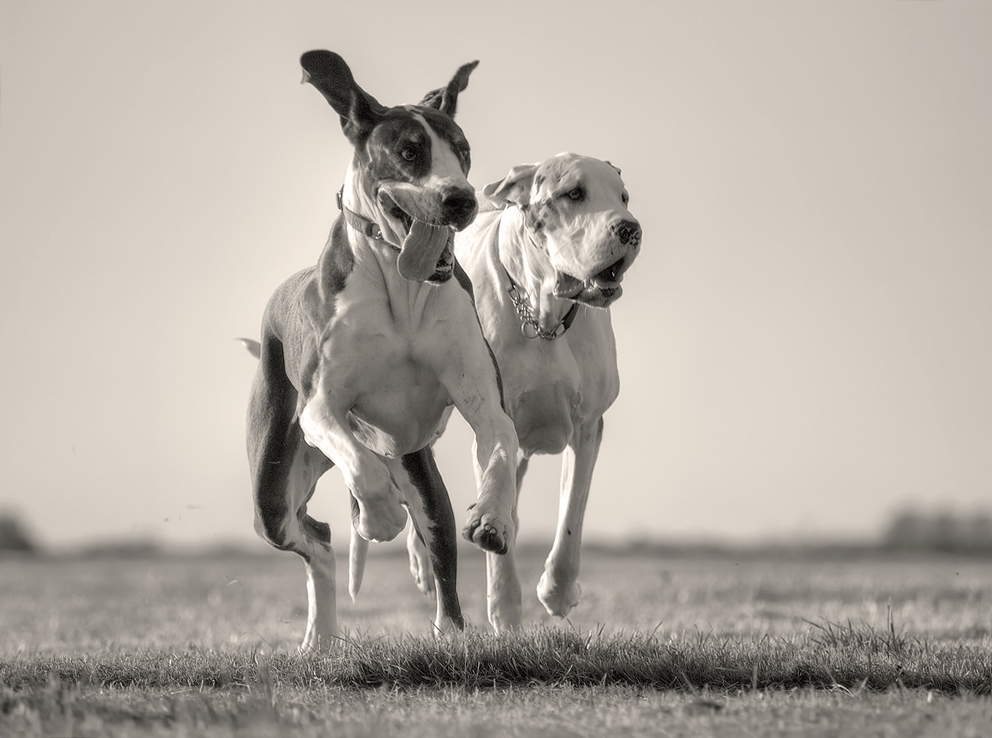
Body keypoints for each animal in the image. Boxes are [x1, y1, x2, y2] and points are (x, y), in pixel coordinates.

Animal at [246, 53, 520, 648]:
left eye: (462, 150)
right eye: (409, 151)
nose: (461, 199)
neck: (401, 285)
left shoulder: (484, 398)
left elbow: (502, 448)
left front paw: (492, 516)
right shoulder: (320, 407)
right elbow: (361, 466)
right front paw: (379, 519)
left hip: (417, 465)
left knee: (433, 540)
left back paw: (441, 630)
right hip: (271, 487)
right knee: (315, 533)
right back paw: (321, 637)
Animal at [406, 152, 640, 628]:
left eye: (623, 197)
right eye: (573, 193)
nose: (630, 229)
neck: (541, 314)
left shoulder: (588, 426)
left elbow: (572, 514)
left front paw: (557, 591)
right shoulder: (493, 416)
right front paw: (505, 607)